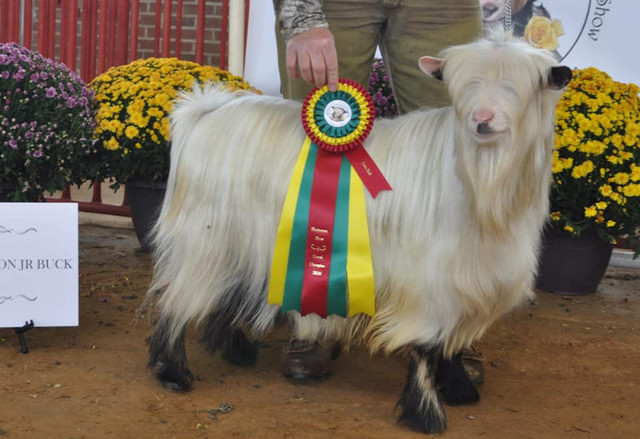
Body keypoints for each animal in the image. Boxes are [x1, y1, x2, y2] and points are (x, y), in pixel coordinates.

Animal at [144, 31, 568, 436]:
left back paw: (236, 351)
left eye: (523, 85)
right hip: (204, 236)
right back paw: (173, 373)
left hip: (242, 242)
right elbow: (427, 345)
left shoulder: (467, 275)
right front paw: (426, 414)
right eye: (460, 86)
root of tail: (205, 113)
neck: (476, 182)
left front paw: (461, 387)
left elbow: (450, 340)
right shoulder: (428, 278)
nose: (481, 119)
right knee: (177, 298)